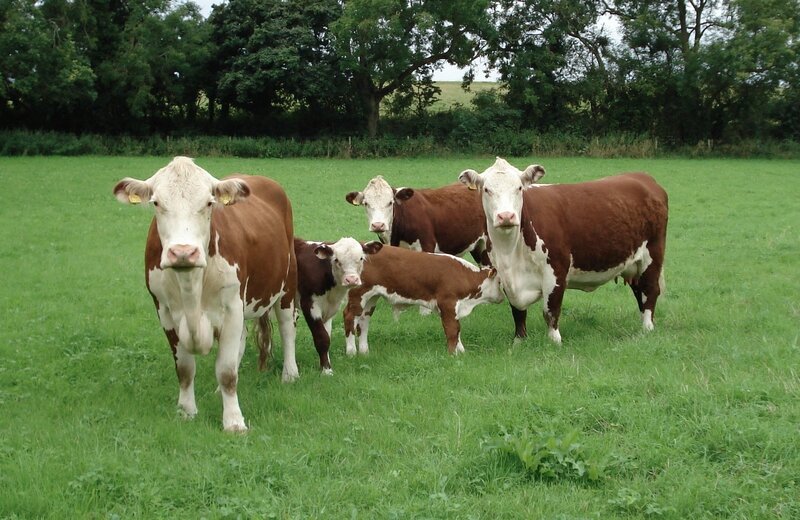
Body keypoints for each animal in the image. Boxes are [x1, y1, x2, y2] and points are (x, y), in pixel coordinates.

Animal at [114, 156, 298, 432]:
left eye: (209, 203)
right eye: (156, 202)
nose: (183, 252)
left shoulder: (232, 308)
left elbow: (227, 372)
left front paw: (234, 422)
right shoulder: (164, 311)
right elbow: (185, 369)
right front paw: (186, 411)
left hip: (287, 282)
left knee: (287, 329)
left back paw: (290, 374)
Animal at [296, 236, 382, 374]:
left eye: (361, 258)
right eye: (336, 260)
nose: (351, 279)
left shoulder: (329, 309)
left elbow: (327, 337)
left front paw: (325, 364)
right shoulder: (309, 305)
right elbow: (321, 338)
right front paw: (327, 371)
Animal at [340, 246, 504, 356]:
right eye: (500, 282)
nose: (503, 298)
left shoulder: (455, 308)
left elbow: (457, 329)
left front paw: (462, 351)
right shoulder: (447, 303)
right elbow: (452, 330)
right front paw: (453, 354)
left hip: (371, 298)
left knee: (363, 321)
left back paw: (364, 351)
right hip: (358, 294)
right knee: (349, 317)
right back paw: (351, 352)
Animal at [456, 157, 668, 346]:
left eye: (519, 188)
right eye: (487, 189)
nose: (506, 216)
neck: (510, 253)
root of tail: (642, 177)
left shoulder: (556, 270)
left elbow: (550, 310)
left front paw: (555, 341)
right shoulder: (504, 276)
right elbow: (517, 311)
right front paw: (518, 341)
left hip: (652, 255)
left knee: (650, 290)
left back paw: (647, 328)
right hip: (633, 263)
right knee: (639, 291)